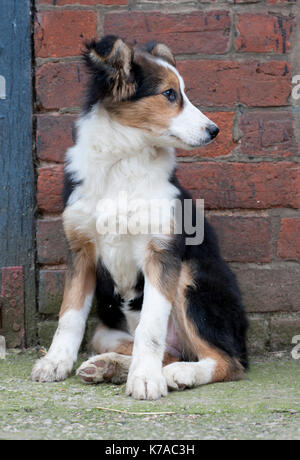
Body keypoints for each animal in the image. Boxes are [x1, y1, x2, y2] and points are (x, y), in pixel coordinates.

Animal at [31, 35, 250, 398]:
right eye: (170, 94)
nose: (214, 130)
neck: (125, 160)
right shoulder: (80, 250)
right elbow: (70, 314)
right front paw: (55, 362)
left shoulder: (161, 253)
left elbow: (151, 326)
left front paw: (146, 380)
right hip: (105, 332)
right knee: (168, 351)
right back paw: (109, 366)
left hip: (191, 278)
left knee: (228, 361)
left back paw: (179, 374)